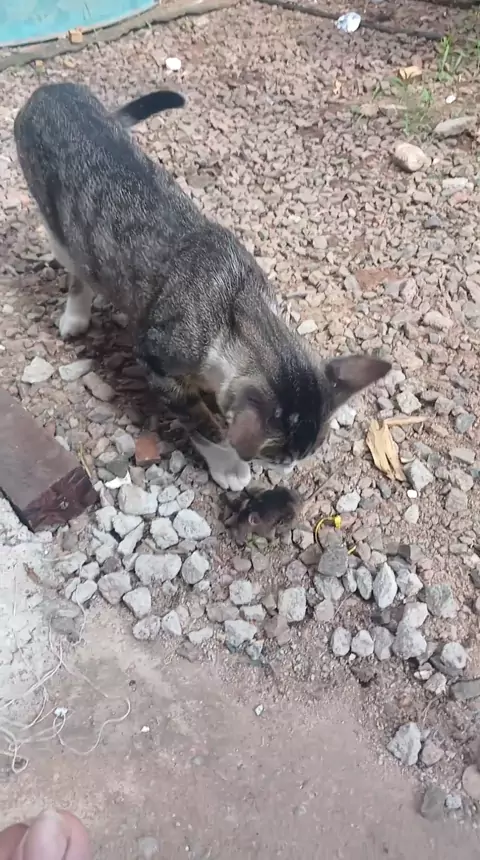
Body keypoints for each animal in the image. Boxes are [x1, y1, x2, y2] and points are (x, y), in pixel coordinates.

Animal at [14, 83, 391, 492]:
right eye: (278, 458)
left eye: (307, 454)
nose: (290, 470)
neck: (234, 303)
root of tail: (52, 89)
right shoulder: (157, 362)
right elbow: (201, 423)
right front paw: (227, 463)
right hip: (56, 229)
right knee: (76, 267)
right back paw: (75, 316)